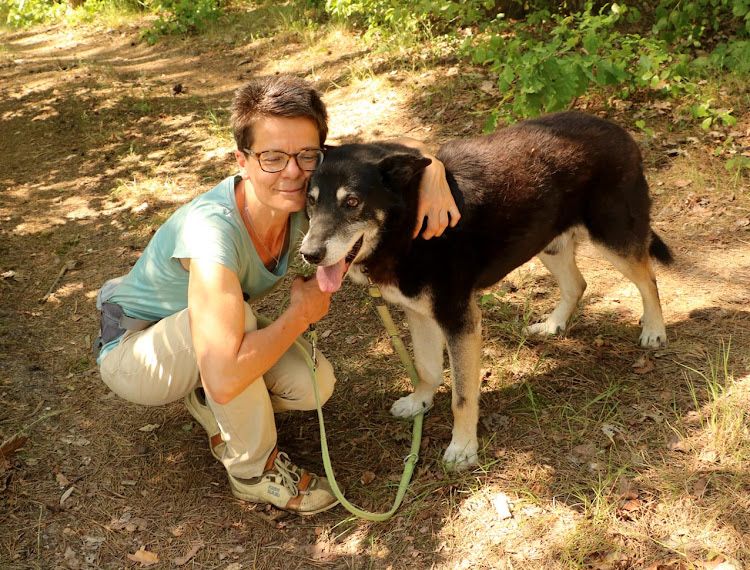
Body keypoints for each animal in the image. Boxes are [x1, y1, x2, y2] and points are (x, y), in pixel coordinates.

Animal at [300, 110, 676, 466]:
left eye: (352, 202)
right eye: (312, 201)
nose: (309, 254)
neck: (409, 222)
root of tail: (617, 128)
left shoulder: (460, 321)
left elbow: (462, 396)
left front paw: (463, 448)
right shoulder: (419, 313)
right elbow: (426, 367)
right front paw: (420, 401)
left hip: (614, 238)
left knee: (648, 278)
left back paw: (654, 330)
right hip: (547, 243)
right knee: (578, 283)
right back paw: (554, 325)